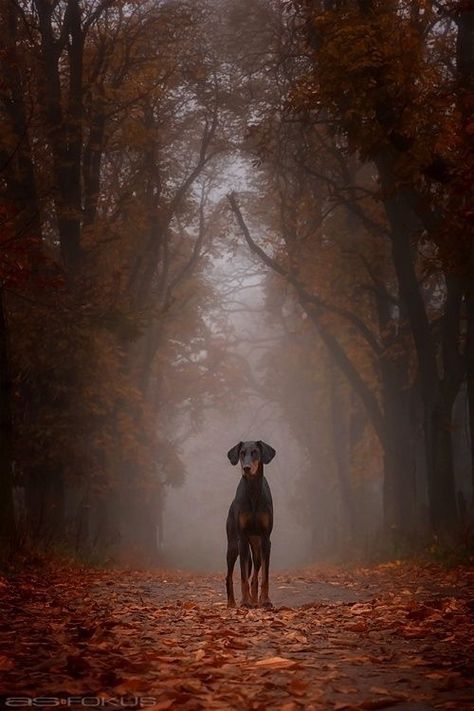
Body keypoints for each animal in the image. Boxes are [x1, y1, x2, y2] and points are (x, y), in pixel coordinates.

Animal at [225, 442, 276, 608]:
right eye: (242, 453)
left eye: (255, 452)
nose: (246, 468)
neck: (253, 490)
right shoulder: (242, 538)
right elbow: (242, 577)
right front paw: (245, 601)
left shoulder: (266, 539)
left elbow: (265, 575)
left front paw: (265, 600)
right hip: (233, 546)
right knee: (229, 576)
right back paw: (232, 602)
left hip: (257, 547)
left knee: (255, 573)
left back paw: (255, 600)